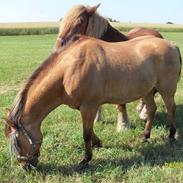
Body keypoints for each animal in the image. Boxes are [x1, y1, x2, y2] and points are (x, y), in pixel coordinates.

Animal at [4, 35, 182, 170]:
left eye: (17, 142)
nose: (26, 167)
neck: (69, 69)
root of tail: (172, 45)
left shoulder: (88, 107)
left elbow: (86, 134)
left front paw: (85, 160)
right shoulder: (84, 108)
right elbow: (90, 132)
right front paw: (98, 143)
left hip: (166, 90)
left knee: (171, 109)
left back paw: (171, 135)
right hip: (147, 91)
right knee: (152, 109)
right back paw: (145, 136)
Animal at [54, 3, 163, 132]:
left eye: (80, 22)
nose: (58, 47)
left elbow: (121, 105)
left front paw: (123, 125)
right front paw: (96, 118)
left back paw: (144, 113)